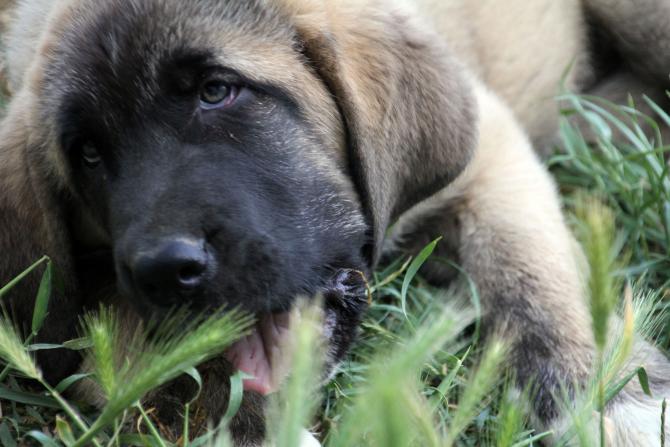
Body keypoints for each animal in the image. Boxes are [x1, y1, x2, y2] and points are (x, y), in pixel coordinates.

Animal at [0, 0, 669, 445]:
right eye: (88, 154)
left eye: (217, 91)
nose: (164, 270)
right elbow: (159, 367)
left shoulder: (491, 156)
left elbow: (533, 277)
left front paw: (607, 399)